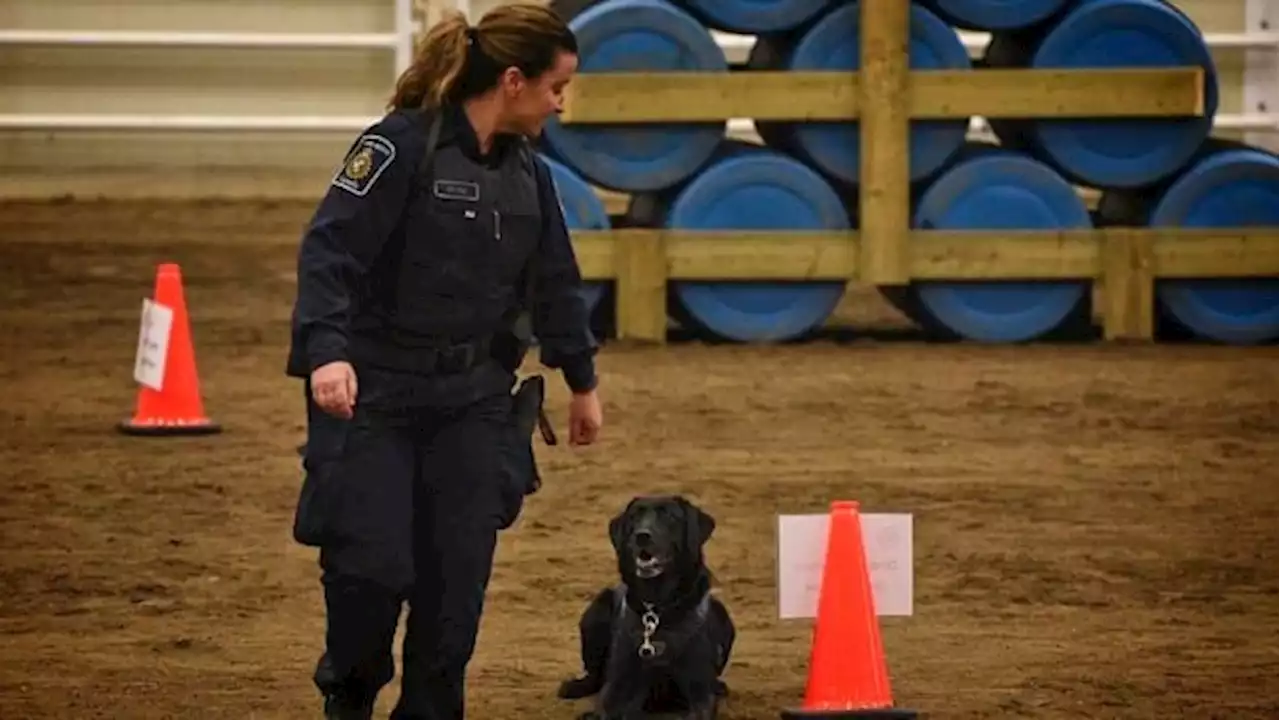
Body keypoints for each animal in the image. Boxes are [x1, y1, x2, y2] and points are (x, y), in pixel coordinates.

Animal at [555, 491, 737, 717]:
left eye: (669, 516)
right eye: (634, 517)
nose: (642, 535)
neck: (657, 607)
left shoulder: (699, 692)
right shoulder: (618, 686)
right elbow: (607, 707)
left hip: (724, 617)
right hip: (596, 610)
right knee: (594, 677)